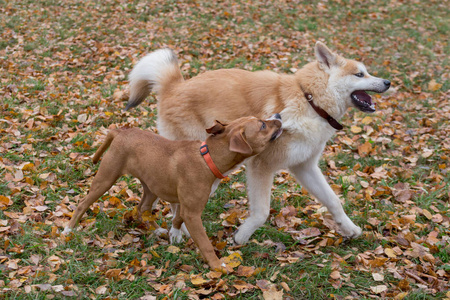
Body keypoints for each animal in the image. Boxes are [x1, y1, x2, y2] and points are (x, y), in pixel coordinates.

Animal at [63, 114, 282, 270]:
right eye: (262, 125)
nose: (279, 117)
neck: (208, 157)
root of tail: (119, 132)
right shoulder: (192, 213)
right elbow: (204, 243)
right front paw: (217, 266)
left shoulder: (187, 206)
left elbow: (177, 217)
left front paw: (174, 234)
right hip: (106, 178)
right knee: (83, 203)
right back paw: (68, 230)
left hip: (152, 185)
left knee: (142, 208)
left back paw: (156, 230)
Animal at [124, 41, 390, 244]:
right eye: (359, 74)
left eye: (366, 72)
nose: (388, 82)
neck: (310, 101)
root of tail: (174, 86)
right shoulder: (261, 166)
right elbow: (261, 211)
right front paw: (241, 237)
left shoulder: (305, 167)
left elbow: (333, 201)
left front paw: (349, 228)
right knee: (176, 201)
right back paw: (179, 234)